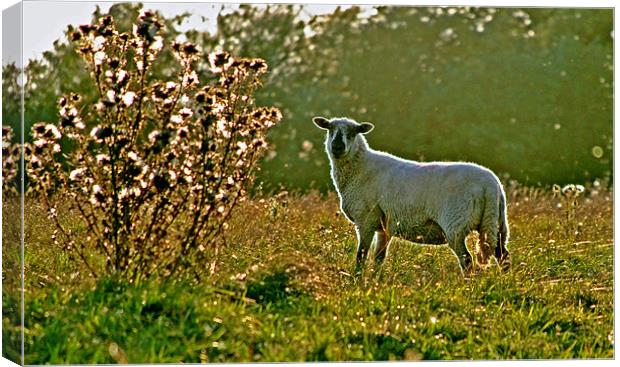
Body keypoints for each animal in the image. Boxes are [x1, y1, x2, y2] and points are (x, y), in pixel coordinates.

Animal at [312, 115, 512, 276]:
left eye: (353, 133)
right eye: (330, 129)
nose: (337, 146)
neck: (359, 167)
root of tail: (490, 185)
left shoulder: (366, 219)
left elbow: (361, 255)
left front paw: (357, 281)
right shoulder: (384, 225)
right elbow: (378, 258)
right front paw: (374, 282)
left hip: (456, 225)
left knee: (468, 260)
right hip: (496, 222)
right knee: (503, 256)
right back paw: (504, 283)